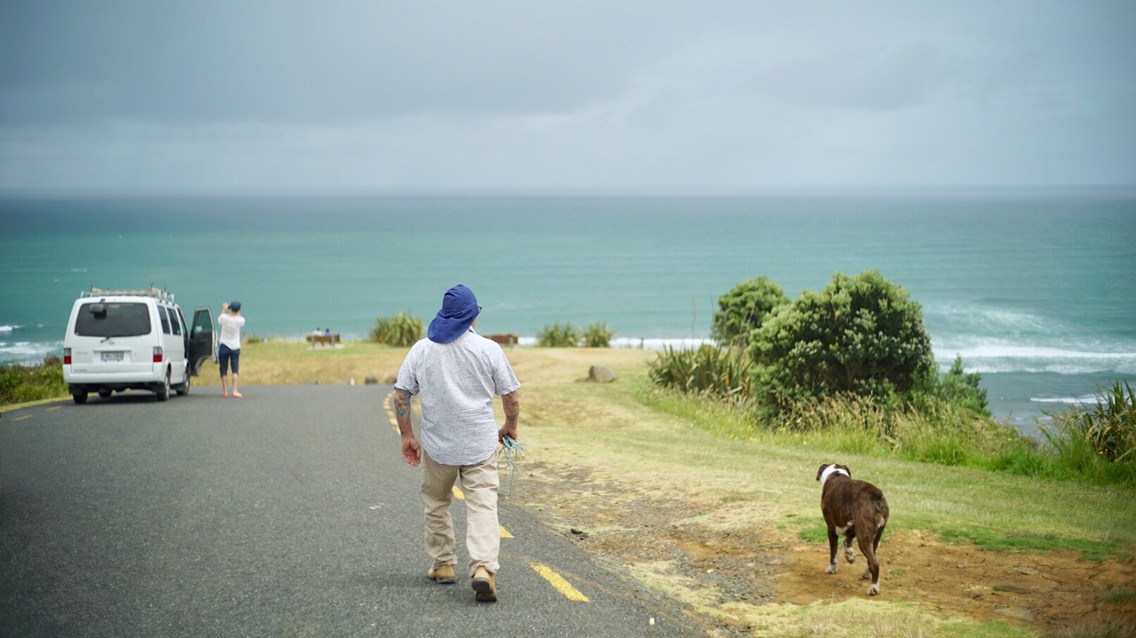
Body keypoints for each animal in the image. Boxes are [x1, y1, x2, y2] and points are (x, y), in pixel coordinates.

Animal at [817, 460, 886, 590]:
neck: (836, 473)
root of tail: (876, 494)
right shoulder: (854, 525)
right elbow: (847, 540)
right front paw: (850, 555)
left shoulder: (831, 529)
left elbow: (833, 553)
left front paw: (832, 568)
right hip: (874, 536)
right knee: (872, 557)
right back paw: (867, 574)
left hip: (864, 538)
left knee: (874, 563)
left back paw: (874, 587)